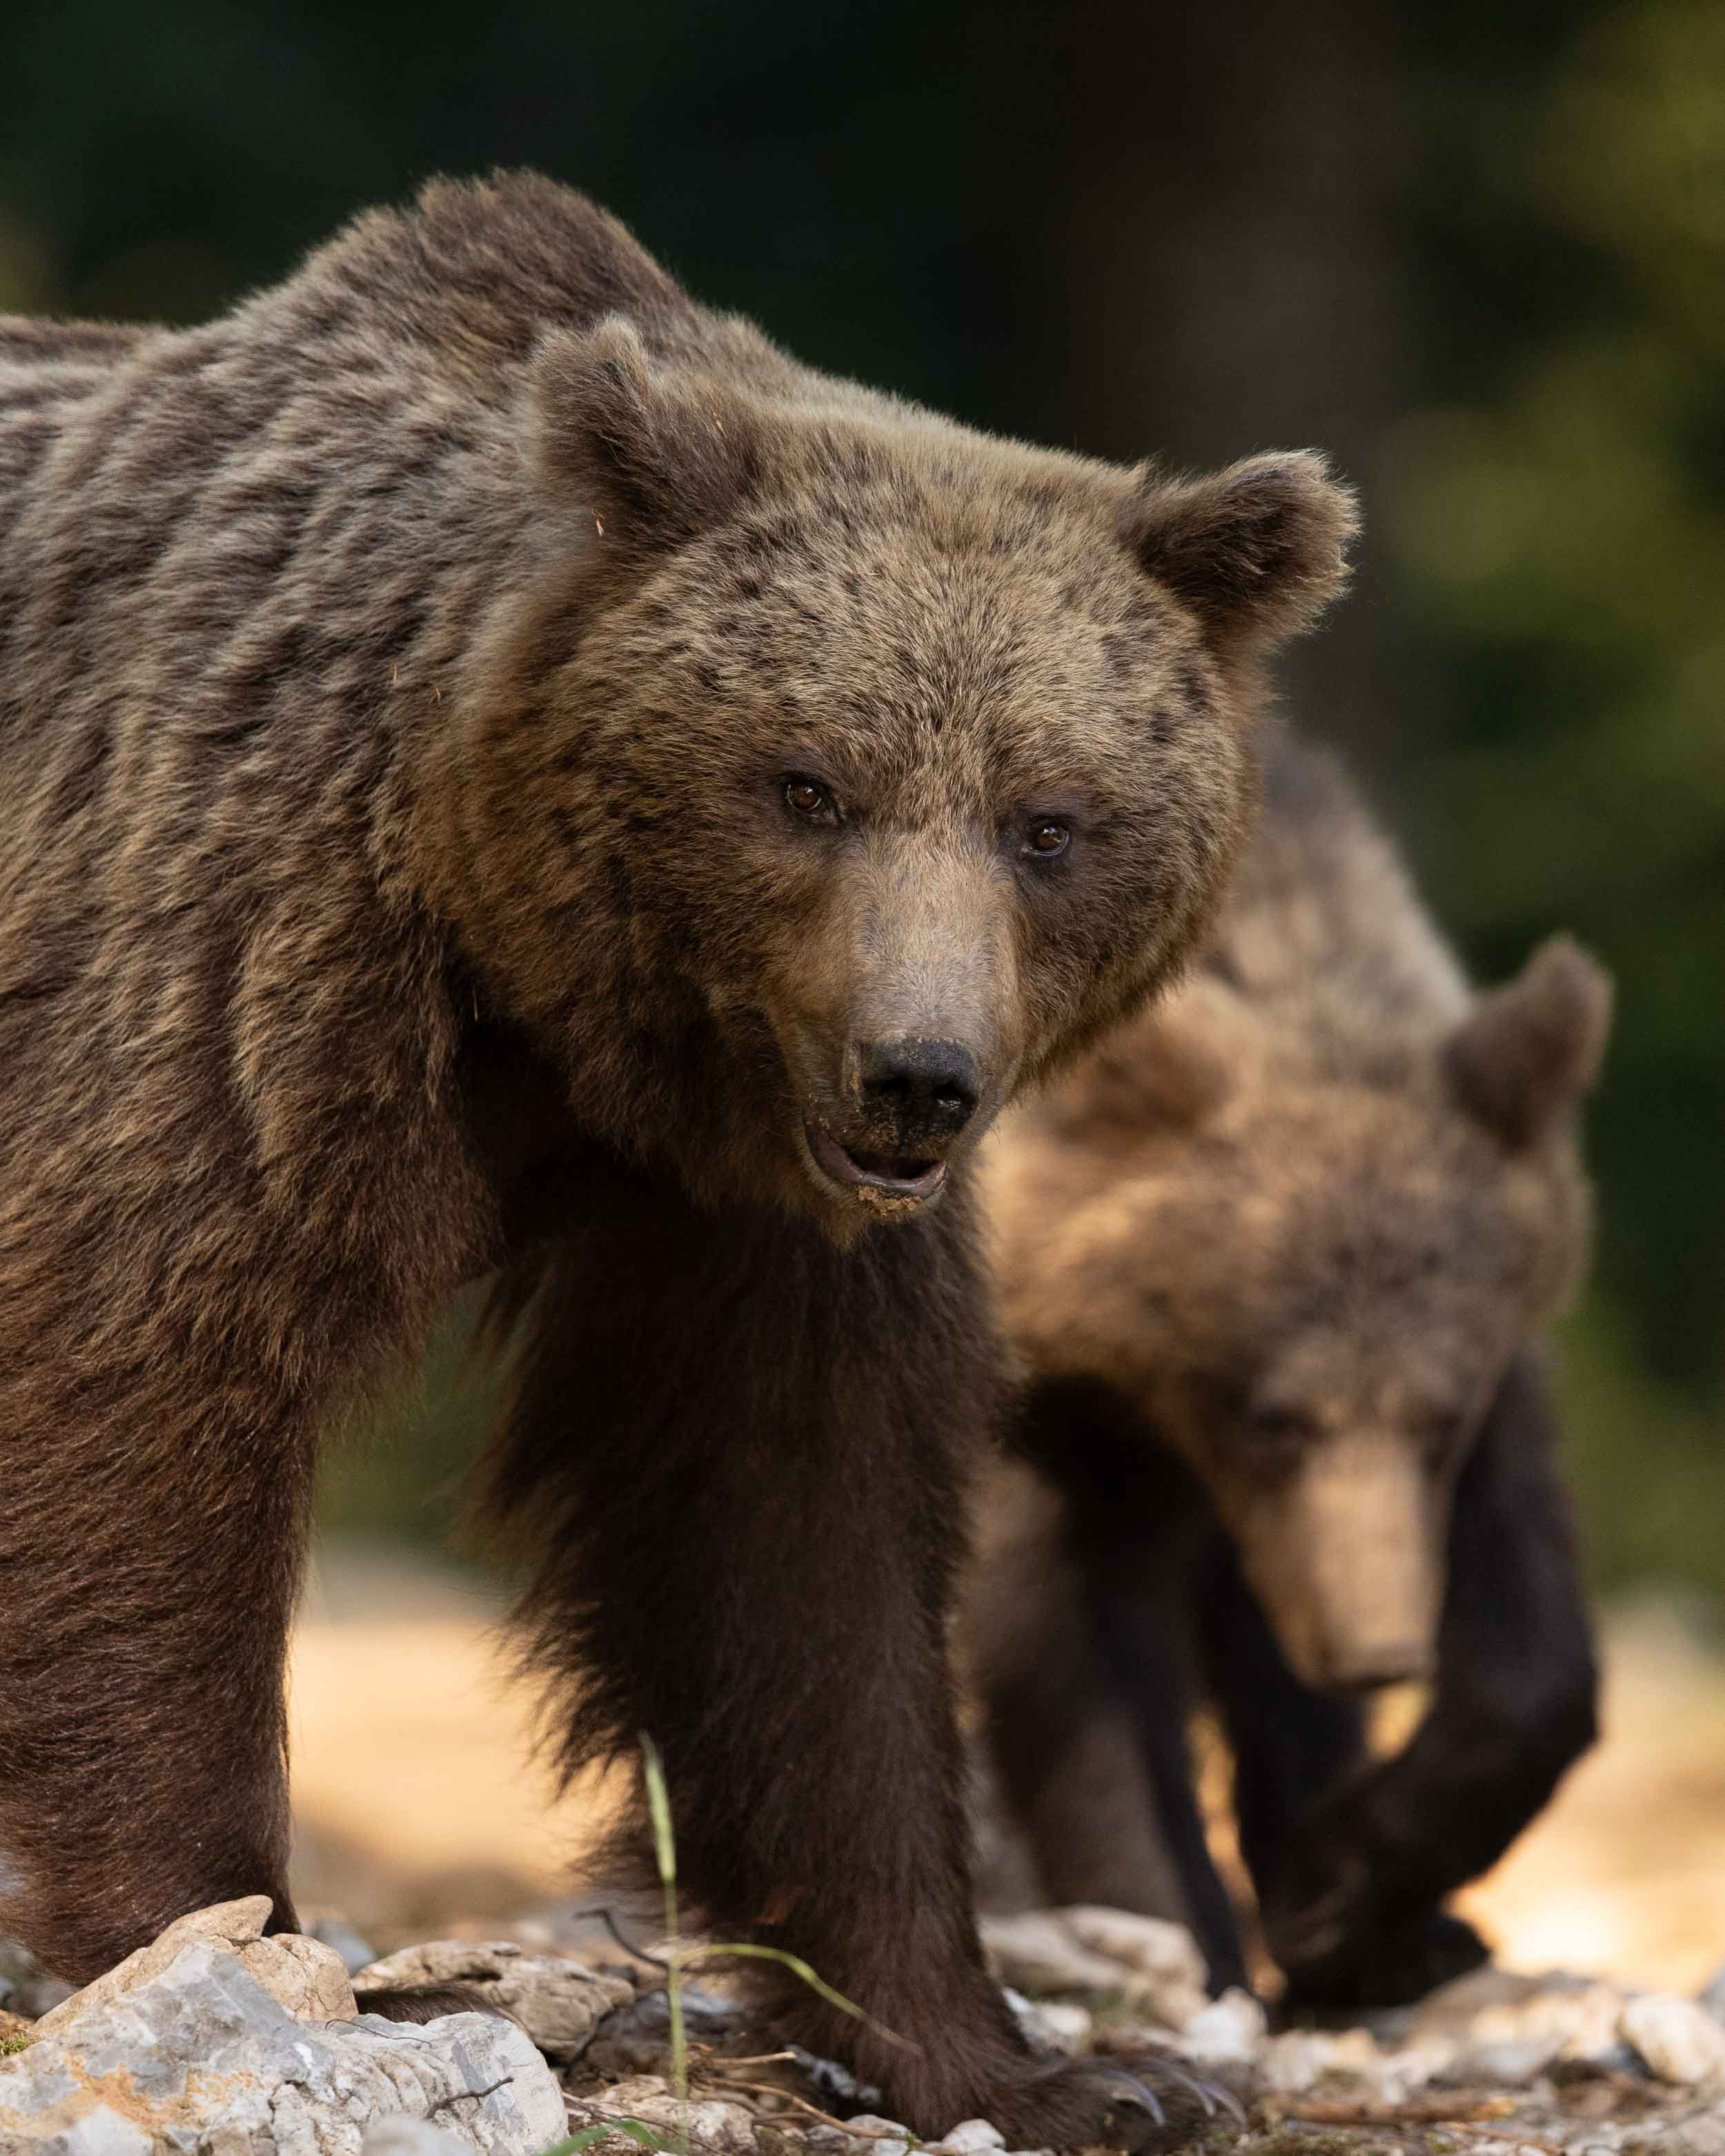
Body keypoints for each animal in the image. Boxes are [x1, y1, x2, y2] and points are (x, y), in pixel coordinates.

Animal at [0, 174, 1357, 2142]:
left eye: (1047, 821)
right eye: (806, 783)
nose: (918, 1079)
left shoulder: (751, 1212)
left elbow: (791, 1530)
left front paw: (1054, 2059)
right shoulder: (236, 957)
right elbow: (151, 1379)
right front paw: (232, 1932)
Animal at [965, 736, 1609, 2010]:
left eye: (1438, 1416)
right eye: (1273, 1414)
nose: (1381, 1654)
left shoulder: (1483, 1381)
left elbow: (1527, 1641)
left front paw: (1347, 1896)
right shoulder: (1054, 1405)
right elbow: (1068, 1654)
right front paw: (1178, 1929)